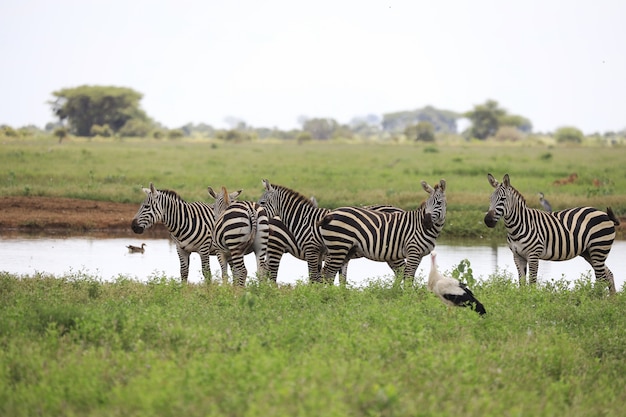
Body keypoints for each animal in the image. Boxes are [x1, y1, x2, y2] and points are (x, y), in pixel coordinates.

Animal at [480, 172, 616, 292]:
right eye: (490, 198)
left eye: (502, 199)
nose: (487, 221)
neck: (517, 227)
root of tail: (604, 214)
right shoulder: (517, 256)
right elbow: (522, 283)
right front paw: (522, 299)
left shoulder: (533, 255)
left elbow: (532, 283)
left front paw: (532, 300)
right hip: (589, 252)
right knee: (608, 274)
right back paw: (611, 301)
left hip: (599, 248)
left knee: (601, 278)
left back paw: (596, 299)